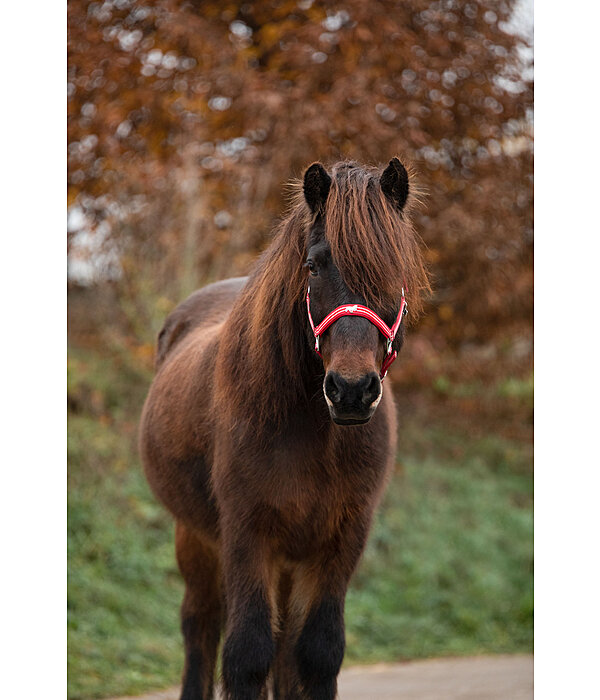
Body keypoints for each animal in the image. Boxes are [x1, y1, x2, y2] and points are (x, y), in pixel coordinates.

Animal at [139, 160, 432, 700]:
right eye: (313, 266)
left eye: (396, 267)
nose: (351, 390)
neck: (313, 432)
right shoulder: (246, 535)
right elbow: (247, 653)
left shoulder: (340, 541)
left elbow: (317, 652)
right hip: (196, 538)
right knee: (200, 626)